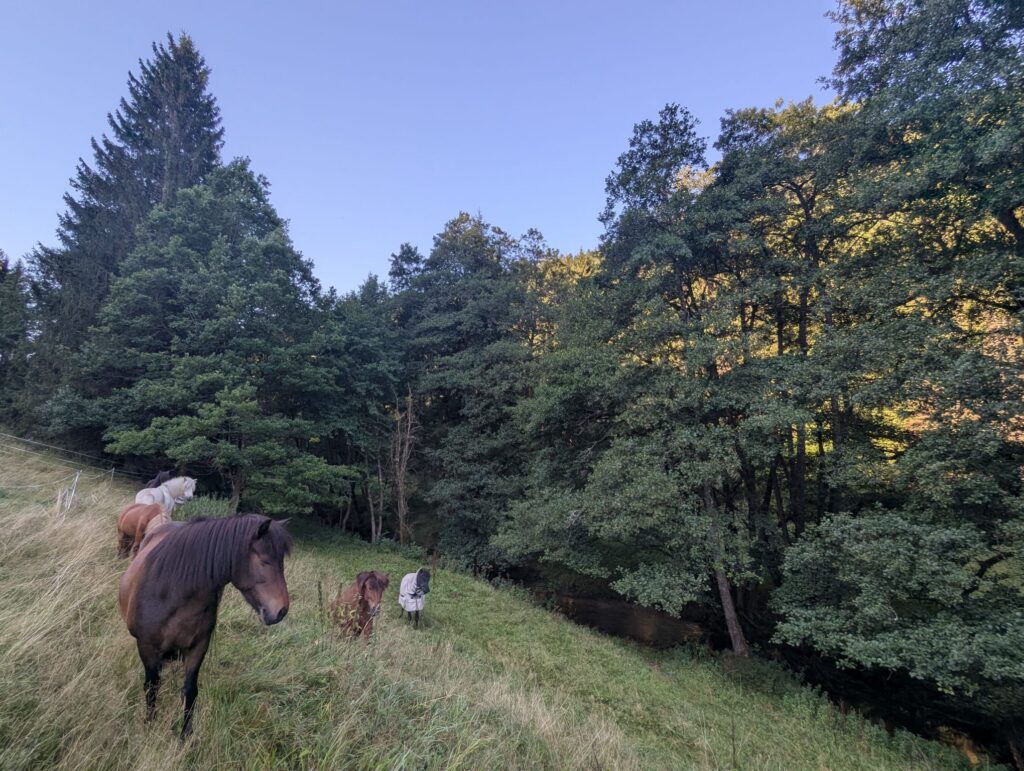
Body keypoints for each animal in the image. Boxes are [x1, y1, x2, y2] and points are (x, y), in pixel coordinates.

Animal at [118, 513, 292, 740]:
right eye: (264, 561)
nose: (281, 611)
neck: (174, 593)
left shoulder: (198, 647)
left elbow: (190, 691)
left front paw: (185, 735)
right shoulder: (147, 647)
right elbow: (151, 687)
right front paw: (149, 724)